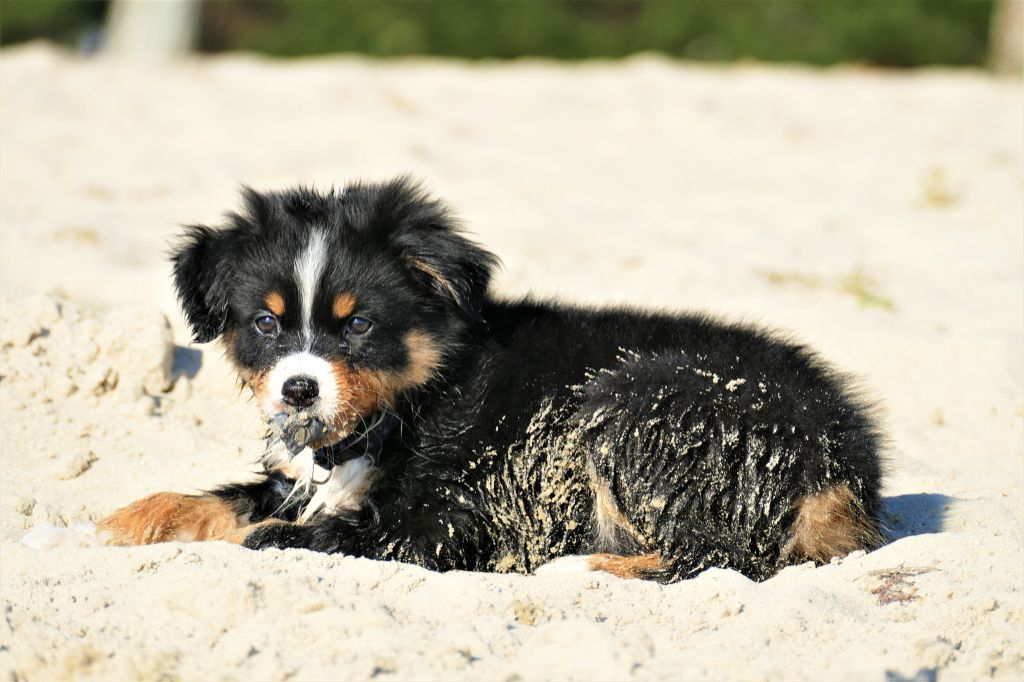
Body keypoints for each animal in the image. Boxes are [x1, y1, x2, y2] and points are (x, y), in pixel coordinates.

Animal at [92, 176, 884, 577]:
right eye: (265, 323)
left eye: (359, 325)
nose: (298, 390)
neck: (412, 396)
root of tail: (851, 461)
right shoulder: (304, 475)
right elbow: (226, 498)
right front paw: (126, 519)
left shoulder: (451, 513)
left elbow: (286, 534)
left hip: (637, 400)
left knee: (715, 554)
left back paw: (593, 567)